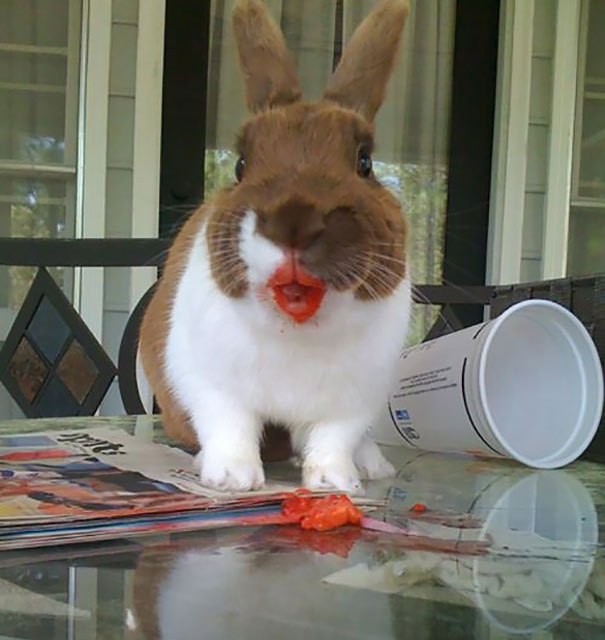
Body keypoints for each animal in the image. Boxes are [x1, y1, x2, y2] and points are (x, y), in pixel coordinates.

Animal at [139, 0, 412, 495]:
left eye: (364, 162)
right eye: (242, 164)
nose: (294, 223)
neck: (296, 330)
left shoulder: (351, 402)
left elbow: (332, 440)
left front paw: (335, 483)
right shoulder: (213, 386)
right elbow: (230, 428)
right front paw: (231, 479)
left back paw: (372, 466)